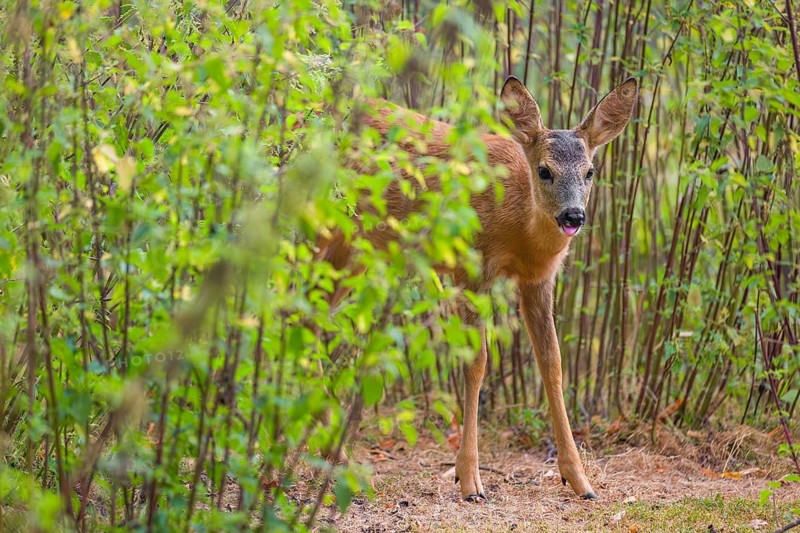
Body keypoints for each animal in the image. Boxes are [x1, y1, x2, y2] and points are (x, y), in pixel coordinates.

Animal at [316, 75, 638, 502]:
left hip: (349, 249)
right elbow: (477, 362)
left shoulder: (539, 280)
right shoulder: (470, 266)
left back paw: (327, 449)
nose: (573, 216)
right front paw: (469, 480)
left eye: (590, 171)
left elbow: (552, 363)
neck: (518, 224)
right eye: (544, 170)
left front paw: (580, 481)